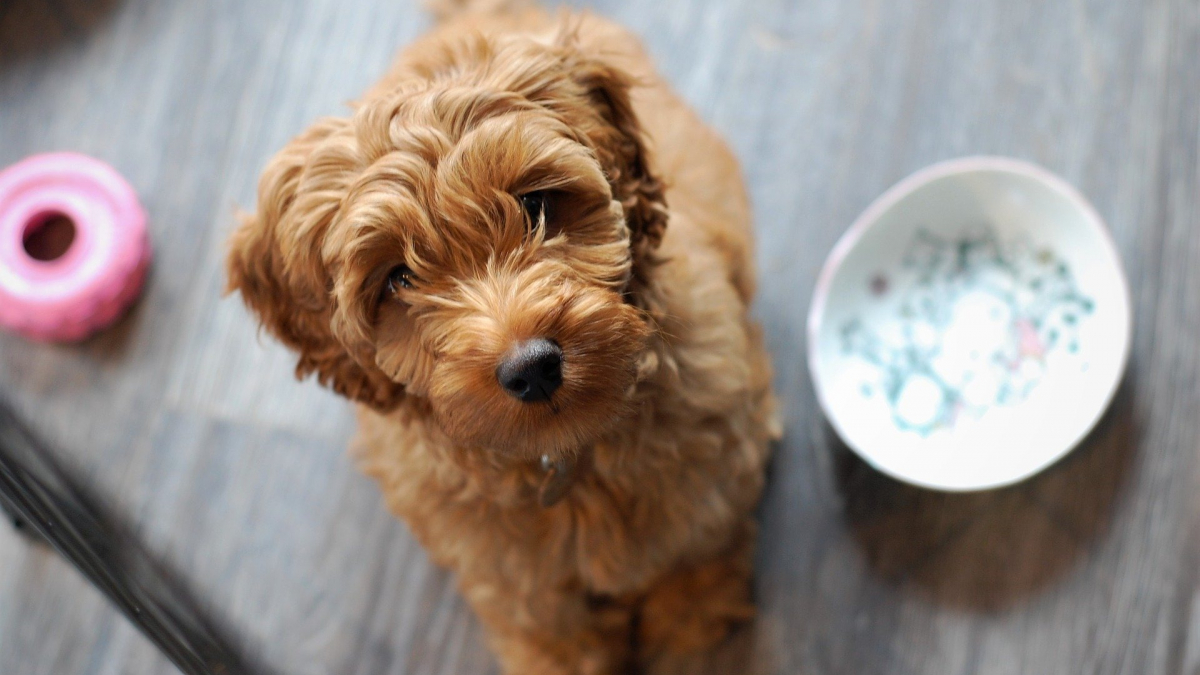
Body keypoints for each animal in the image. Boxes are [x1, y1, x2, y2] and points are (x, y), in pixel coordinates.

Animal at [229, 2, 782, 667]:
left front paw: (690, 618)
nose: (532, 367)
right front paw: (568, 658)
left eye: (536, 205)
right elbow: (541, 613)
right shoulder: (492, 558)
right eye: (398, 278)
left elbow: (698, 538)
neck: (567, 459)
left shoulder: (719, 448)